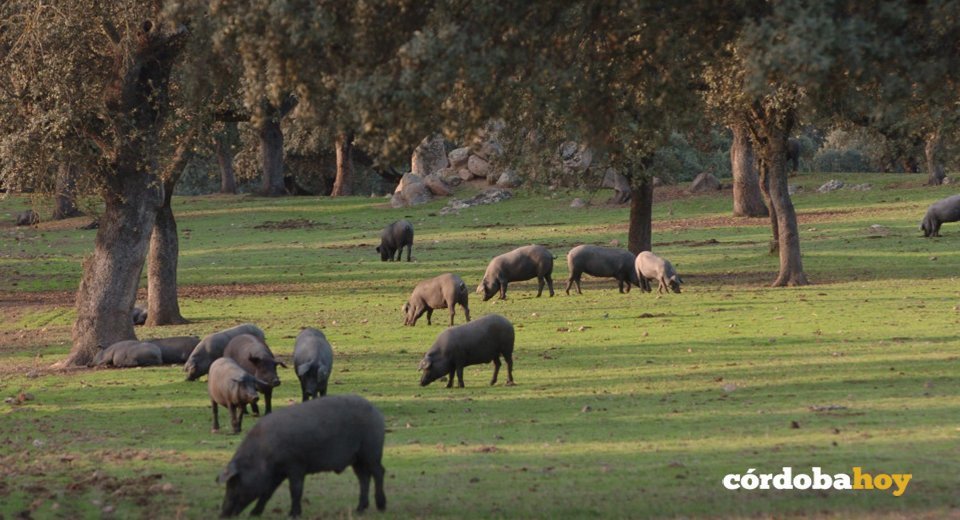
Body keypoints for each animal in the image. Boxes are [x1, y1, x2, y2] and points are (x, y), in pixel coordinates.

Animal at [217, 394, 387, 517]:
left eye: (233, 483)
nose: (223, 514)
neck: (263, 455)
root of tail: (377, 412)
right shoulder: (278, 473)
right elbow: (267, 492)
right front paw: (254, 514)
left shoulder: (295, 465)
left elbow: (295, 489)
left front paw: (293, 515)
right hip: (357, 459)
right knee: (364, 478)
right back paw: (359, 509)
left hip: (371, 451)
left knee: (379, 472)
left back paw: (381, 507)